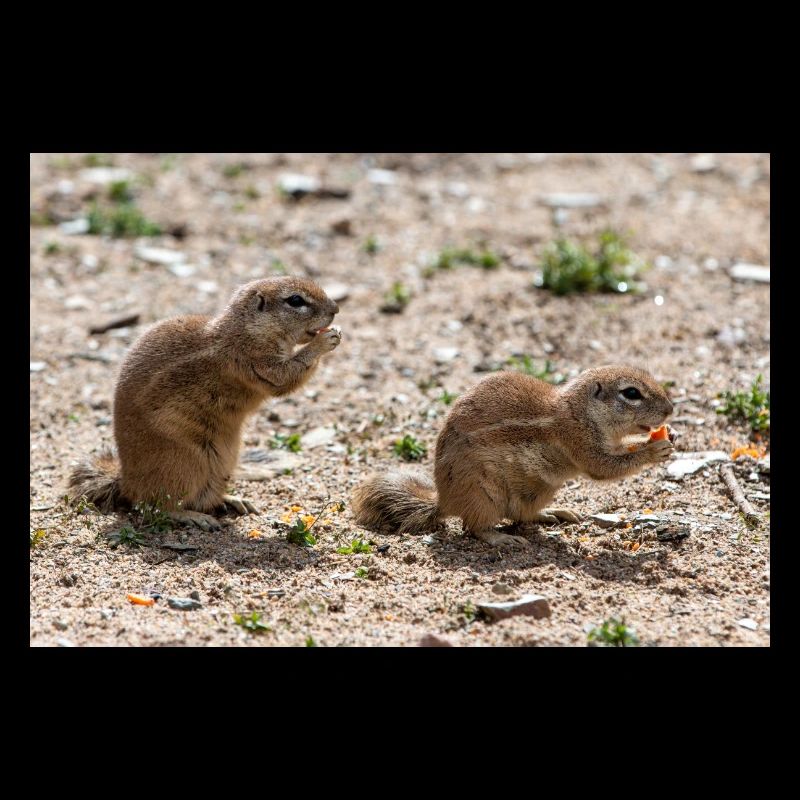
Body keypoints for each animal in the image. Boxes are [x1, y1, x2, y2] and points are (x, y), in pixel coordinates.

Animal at [68, 277, 342, 530]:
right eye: (295, 300)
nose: (336, 309)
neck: (245, 329)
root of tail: (125, 480)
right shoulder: (258, 362)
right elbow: (287, 376)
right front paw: (325, 341)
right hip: (184, 465)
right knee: (155, 507)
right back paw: (195, 517)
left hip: (223, 464)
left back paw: (233, 501)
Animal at [352, 365, 675, 547]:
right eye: (631, 393)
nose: (671, 409)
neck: (579, 411)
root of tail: (444, 500)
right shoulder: (578, 440)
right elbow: (605, 468)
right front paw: (653, 449)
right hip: (484, 496)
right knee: (475, 527)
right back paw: (504, 539)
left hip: (538, 491)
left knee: (521, 515)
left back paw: (554, 513)